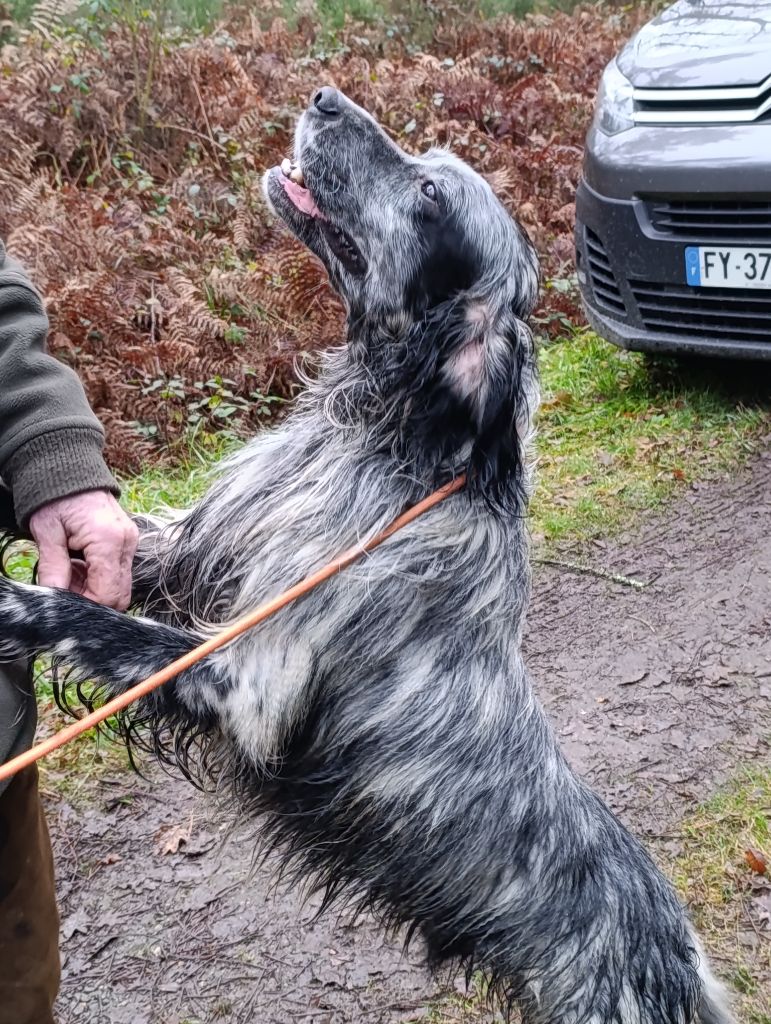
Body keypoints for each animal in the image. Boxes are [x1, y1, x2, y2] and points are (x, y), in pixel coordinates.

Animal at [0, 88, 729, 1024]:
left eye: (427, 193)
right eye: (428, 163)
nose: (324, 99)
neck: (384, 437)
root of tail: (681, 967)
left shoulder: (240, 683)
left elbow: (77, 617)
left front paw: (8, 602)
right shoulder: (197, 555)